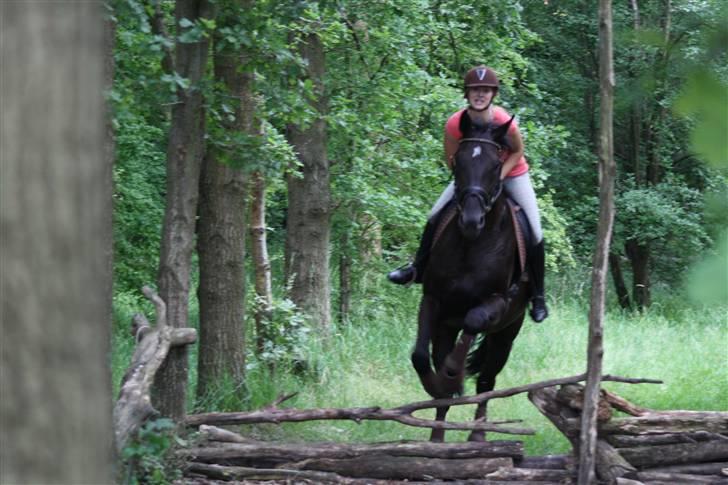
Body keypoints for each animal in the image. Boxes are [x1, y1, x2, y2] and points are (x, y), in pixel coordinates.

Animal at [410, 109, 528, 442]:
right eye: (458, 161)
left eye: (495, 165)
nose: (471, 221)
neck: (471, 245)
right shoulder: (433, 300)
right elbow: (421, 357)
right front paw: (436, 386)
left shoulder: (496, 303)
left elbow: (472, 324)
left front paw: (452, 373)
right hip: (449, 325)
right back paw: (438, 435)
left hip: (507, 332)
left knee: (487, 380)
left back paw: (478, 434)